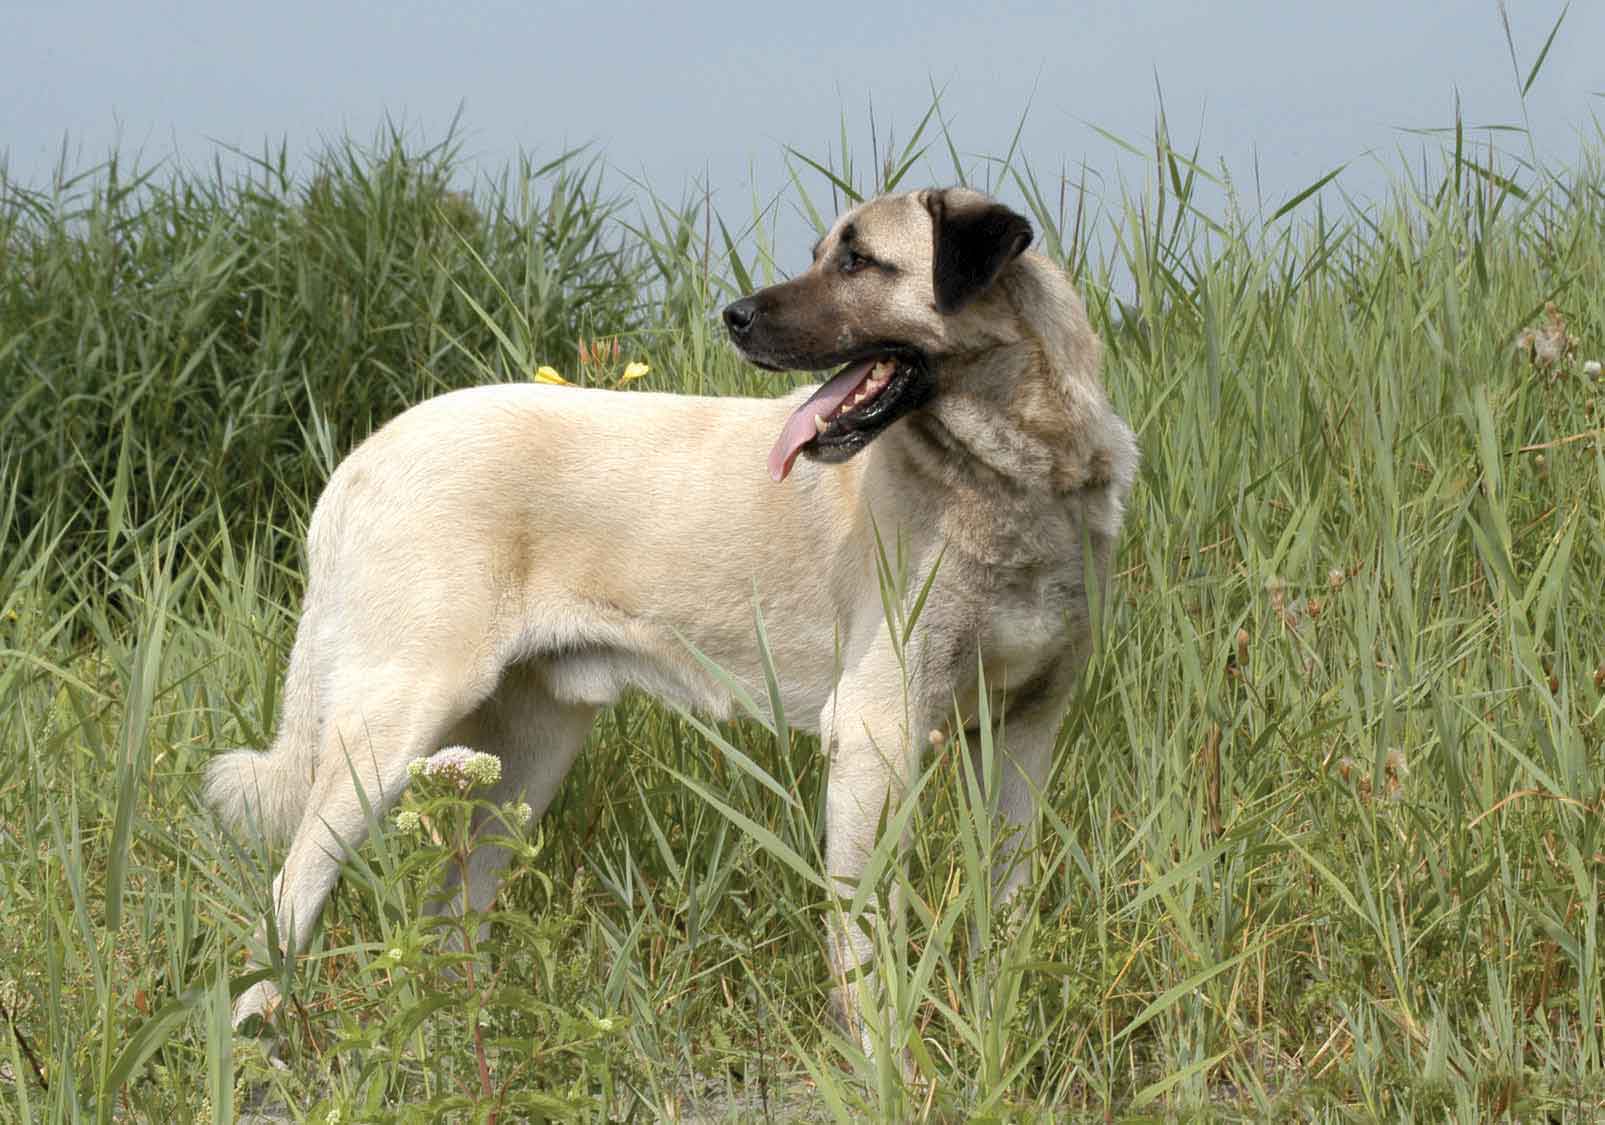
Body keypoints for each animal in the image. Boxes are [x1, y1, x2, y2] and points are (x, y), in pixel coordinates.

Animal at [207, 184, 1142, 1033]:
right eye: (823, 252)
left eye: (857, 261)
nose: (732, 315)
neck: (1016, 474)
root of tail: (364, 455)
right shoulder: (877, 734)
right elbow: (864, 934)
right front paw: (878, 1054)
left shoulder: (1022, 733)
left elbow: (1005, 904)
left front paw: (997, 1016)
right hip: (390, 728)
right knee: (290, 890)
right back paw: (257, 1037)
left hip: (525, 758)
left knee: (449, 913)